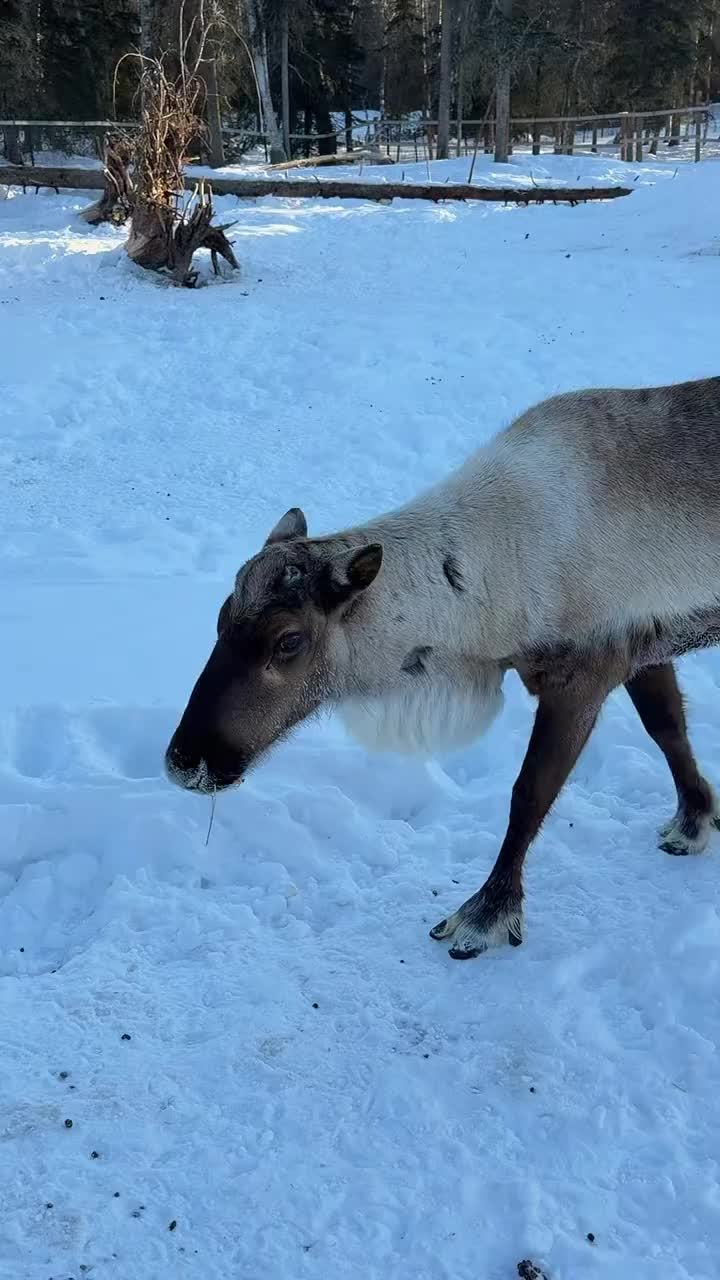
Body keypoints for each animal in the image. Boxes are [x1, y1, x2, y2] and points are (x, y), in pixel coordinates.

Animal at [166, 375, 720, 960]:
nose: (185, 761)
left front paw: (487, 914)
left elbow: (530, 794)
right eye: (221, 616)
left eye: (289, 640)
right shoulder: (644, 650)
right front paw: (694, 818)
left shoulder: (584, 673)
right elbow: (668, 729)